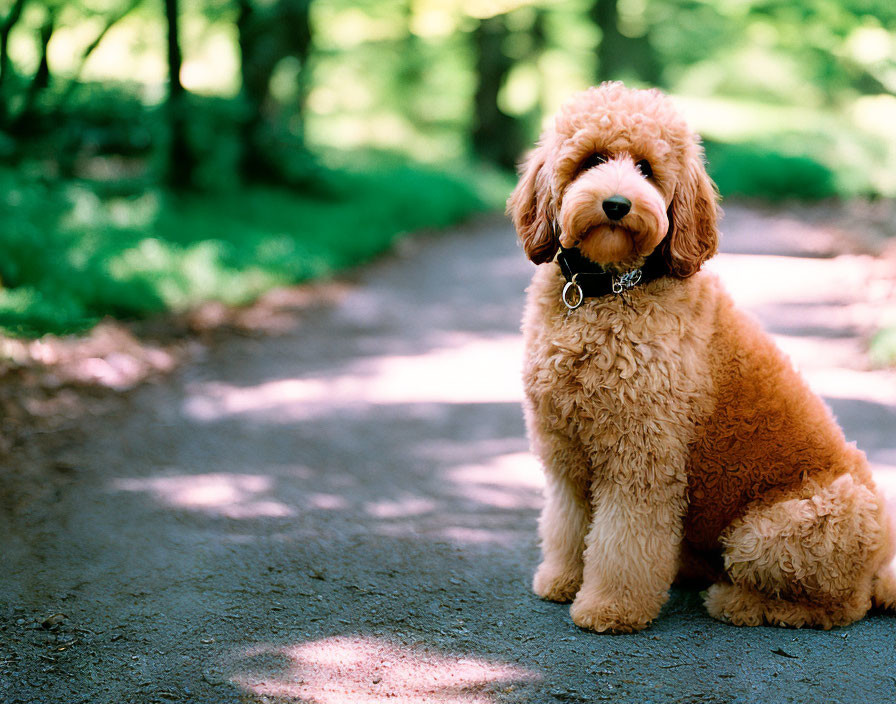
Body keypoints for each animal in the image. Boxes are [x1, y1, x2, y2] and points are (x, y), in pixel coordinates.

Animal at [508, 82, 892, 632]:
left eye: (646, 168)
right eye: (593, 159)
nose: (617, 204)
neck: (608, 290)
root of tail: (880, 569)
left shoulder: (642, 455)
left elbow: (623, 540)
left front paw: (610, 608)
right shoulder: (566, 452)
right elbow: (568, 522)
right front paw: (562, 579)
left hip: (785, 528)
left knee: (839, 607)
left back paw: (738, 602)